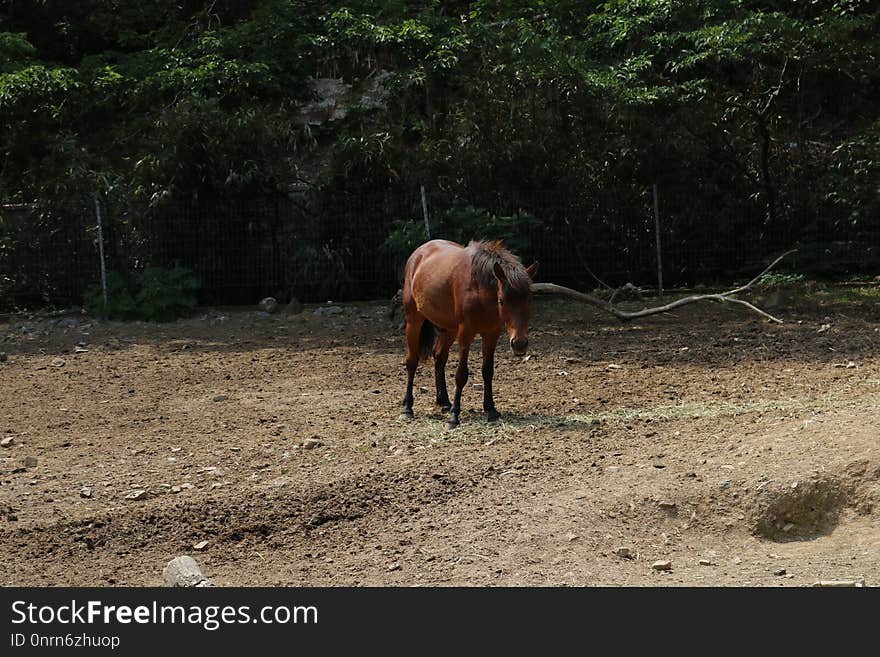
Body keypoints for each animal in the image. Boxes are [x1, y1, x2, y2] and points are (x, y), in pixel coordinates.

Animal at [398, 238, 536, 428]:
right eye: (502, 300)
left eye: (529, 299)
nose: (520, 344)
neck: (479, 290)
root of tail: (418, 254)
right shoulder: (466, 333)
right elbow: (461, 375)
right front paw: (454, 417)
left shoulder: (491, 334)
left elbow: (487, 371)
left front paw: (491, 409)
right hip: (414, 321)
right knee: (412, 361)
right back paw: (407, 408)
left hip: (449, 329)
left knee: (439, 358)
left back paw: (444, 402)